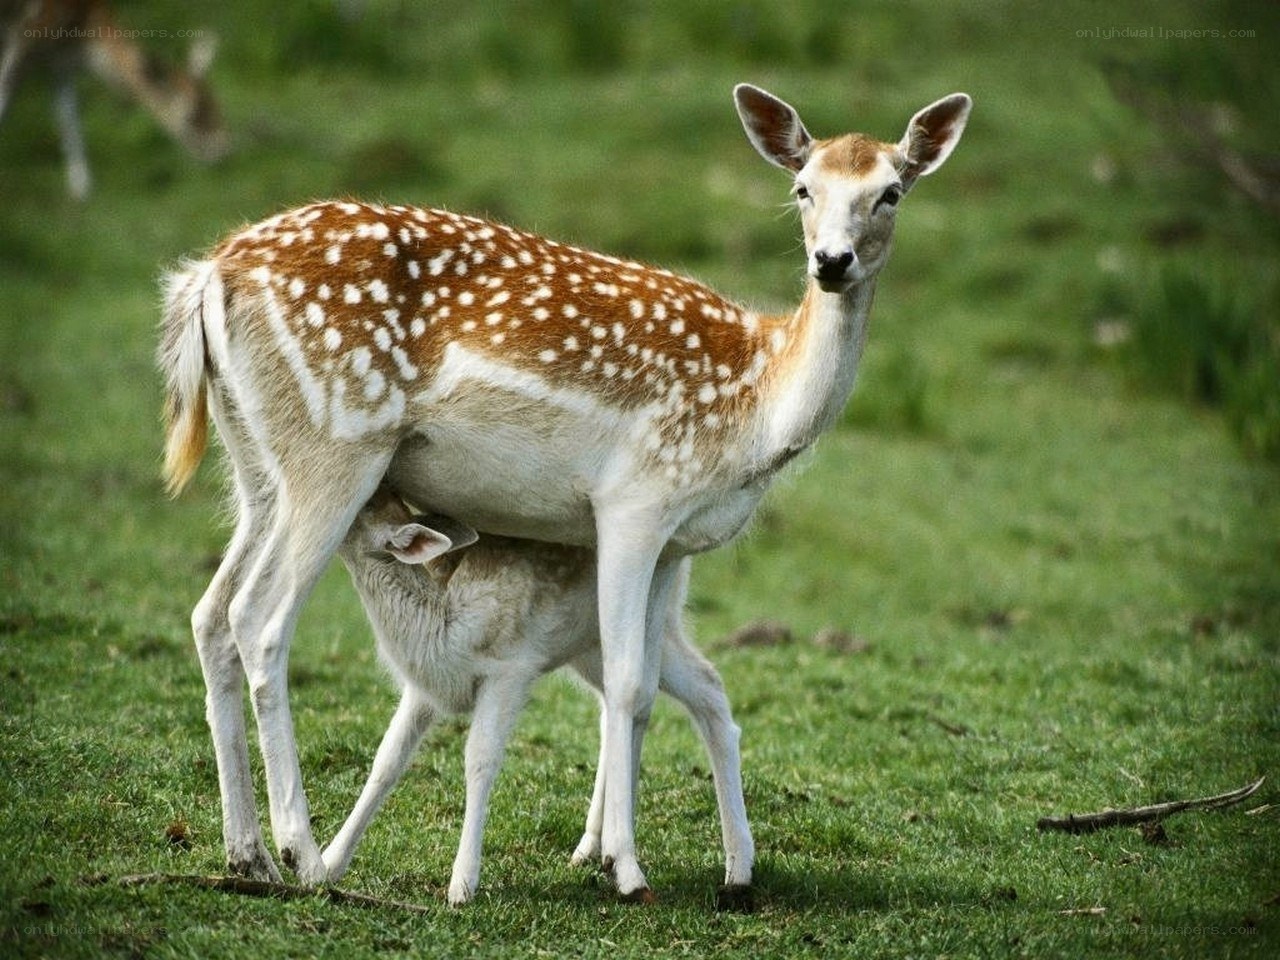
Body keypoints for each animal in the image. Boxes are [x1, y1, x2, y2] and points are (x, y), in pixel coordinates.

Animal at [0, 0, 228, 199]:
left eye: (217, 105)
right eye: (192, 115)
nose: (223, 150)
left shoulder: (59, 61)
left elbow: (68, 117)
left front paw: (81, 191)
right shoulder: (26, 35)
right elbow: (5, 101)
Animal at [325, 486, 752, 905]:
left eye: (365, 502)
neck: (442, 626)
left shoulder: (509, 670)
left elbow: (479, 760)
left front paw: (462, 886)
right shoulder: (426, 687)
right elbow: (387, 759)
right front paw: (330, 863)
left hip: (658, 625)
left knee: (706, 684)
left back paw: (736, 869)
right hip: (589, 647)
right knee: (619, 705)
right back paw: (589, 849)